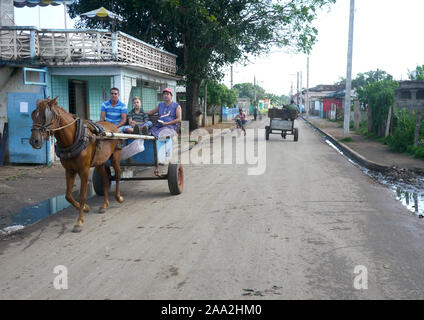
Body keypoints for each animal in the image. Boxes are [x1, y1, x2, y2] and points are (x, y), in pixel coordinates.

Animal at [28, 97, 122, 232]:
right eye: (33, 115)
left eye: (45, 116)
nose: (34, 141)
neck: (73, 138)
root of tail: (113, 126)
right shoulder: (69, 170)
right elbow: (68, 195)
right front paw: (85, 208)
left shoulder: (84, 170)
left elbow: (82, 196)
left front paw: (79, 221)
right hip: (100, 162)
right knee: (105, 179)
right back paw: (104, 204)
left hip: (115, 156)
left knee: (118, 174)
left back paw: (118, 197)